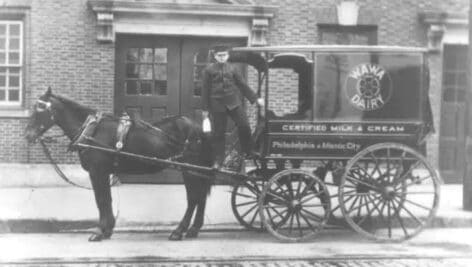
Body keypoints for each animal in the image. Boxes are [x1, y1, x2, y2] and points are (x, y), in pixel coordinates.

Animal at [24, 88, 212, 243]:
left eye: (40, 109)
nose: (27, 135)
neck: (91, 130)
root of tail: (197, 127)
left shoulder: (97, 171)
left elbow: (101, 199)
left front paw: (99, 232)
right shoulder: (103, 172)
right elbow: (106, 199)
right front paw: (107, 230)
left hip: (189, 168)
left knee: (193, 197)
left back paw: (179, 231)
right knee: (201, 196)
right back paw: (193, 229)